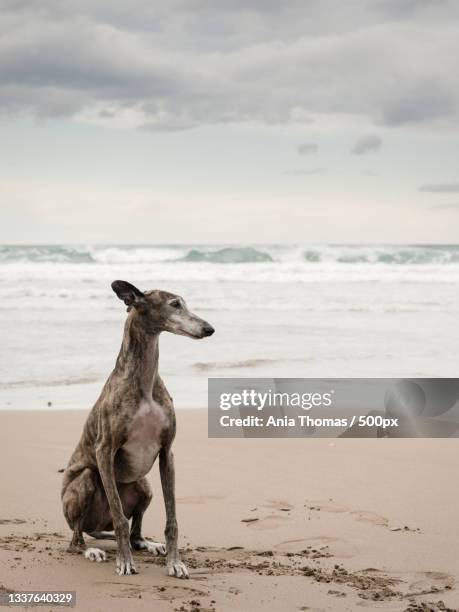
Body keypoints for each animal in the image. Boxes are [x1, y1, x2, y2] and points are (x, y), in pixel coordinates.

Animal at [60, 282, 216, 580]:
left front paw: (174, 562)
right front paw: (124, 562)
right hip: (85, 482)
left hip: (144, 486)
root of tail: (96, 525)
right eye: (175, 304)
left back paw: (149, 544)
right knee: (77, 538)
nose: (209, 329)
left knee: (135, 533)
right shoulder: (104, 450)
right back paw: (91, 550)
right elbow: (121, 518)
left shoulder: (167, 452)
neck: (144, 381)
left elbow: (171, 519)